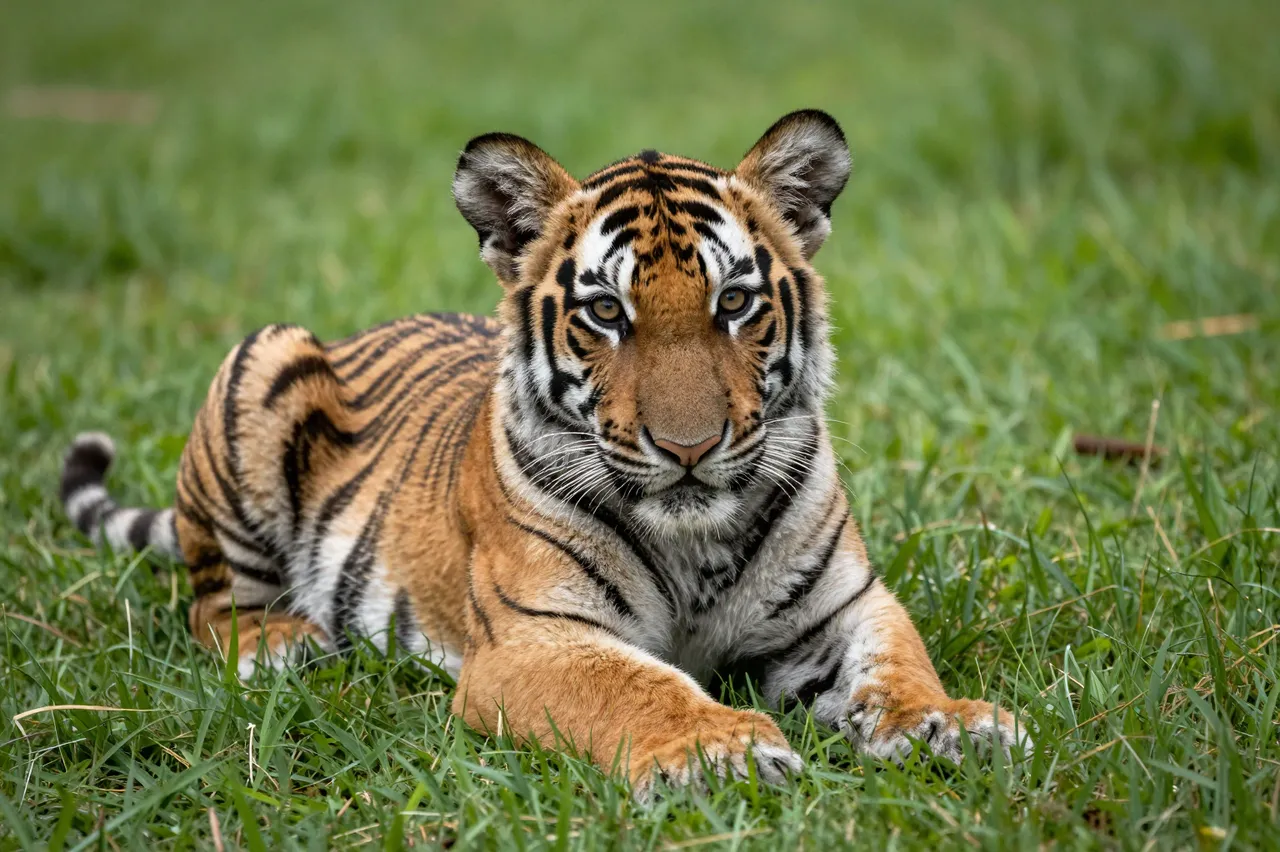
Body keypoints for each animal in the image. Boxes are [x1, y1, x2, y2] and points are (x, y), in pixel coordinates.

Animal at [58, 110, 1029, 798]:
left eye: (735, 302)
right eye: (605, 311)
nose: (688, 447)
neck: (695, 542)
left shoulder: (846, 606)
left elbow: (897, 666)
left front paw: (951, 724)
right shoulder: (536, 640)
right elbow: (639, 687)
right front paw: (721, 750)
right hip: (265, 355)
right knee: (212, 605)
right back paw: (282, 644)